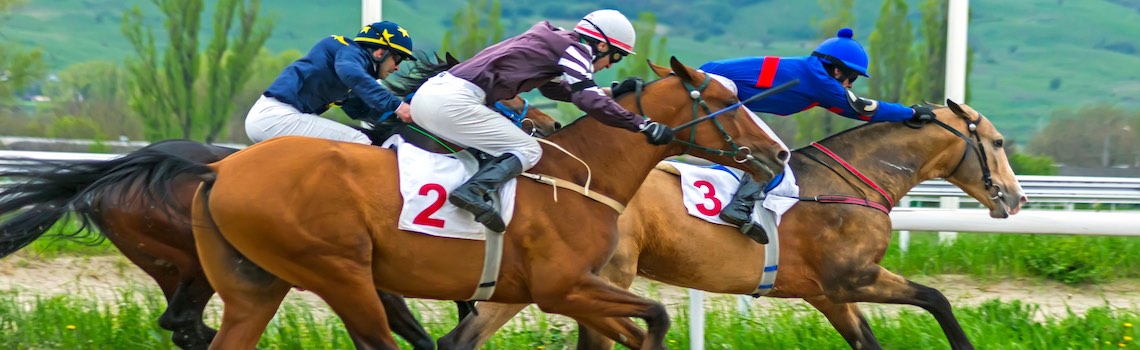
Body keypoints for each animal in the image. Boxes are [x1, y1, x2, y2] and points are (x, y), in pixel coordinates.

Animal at [0, 52, 556, 350]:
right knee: (185, 323)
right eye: (499, 93)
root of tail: (123, 168)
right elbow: (415, 319)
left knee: (181, 323)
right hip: (196, 262)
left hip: (178, 265)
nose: (548, 124)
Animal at [93, 57, 788, 350]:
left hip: (254, 286)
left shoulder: (560, 291)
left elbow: (649, 323)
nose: (778, 154)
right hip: (341, 274)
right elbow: (655, 320)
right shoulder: (562, 286)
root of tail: (218, 170)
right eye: (727, 101)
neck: (577, 175)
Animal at [430, 100, 1030, 348]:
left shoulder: (831, 295)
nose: (1018, 198)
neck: (853, 184)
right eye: (999, 142)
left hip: (538, 280)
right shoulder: (852, 277)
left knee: (460, 339)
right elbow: (938, 299)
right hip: (596, 278)